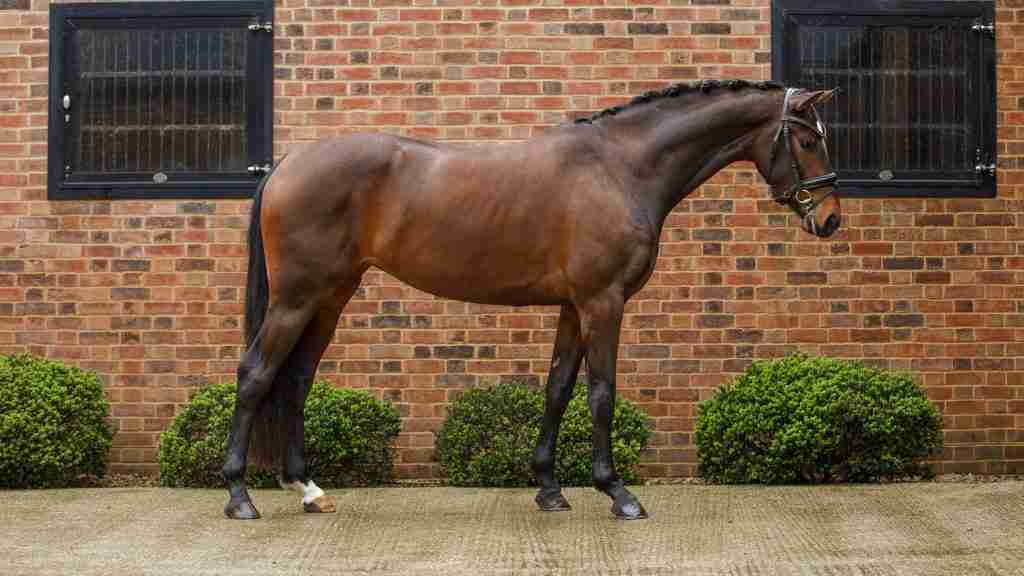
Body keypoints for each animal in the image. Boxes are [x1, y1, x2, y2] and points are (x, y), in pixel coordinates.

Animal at [221, 81, 840, 521]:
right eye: (808, 140)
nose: (831, 219)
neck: (620, 168)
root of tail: (288, 162)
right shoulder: (603, 302)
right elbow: (601, 393)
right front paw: (618, 492)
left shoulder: (573, 305)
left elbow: (558, 388)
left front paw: (548, 488)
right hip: (295, 298)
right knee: (255, 374)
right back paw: (239, 496)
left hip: (330, 297)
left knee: (297, 379)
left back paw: (309, 490)